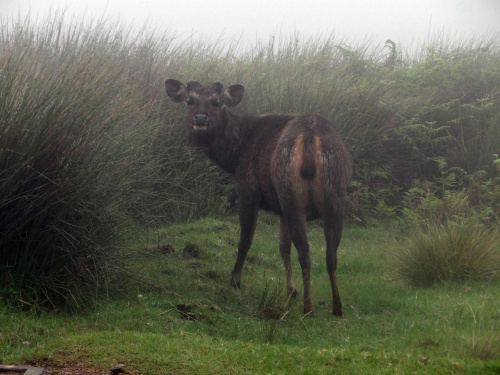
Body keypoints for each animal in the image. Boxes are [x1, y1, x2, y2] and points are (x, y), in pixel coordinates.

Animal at [164, 79, 352, 318]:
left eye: (216, 102)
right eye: (190, 100)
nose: (199, 119)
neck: (235, 156)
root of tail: (310, 140)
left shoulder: (249, 189)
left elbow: (245, 240)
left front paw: (235, 280)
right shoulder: (280, 209)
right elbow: (283, 248)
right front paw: (291, 289)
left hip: (292, 194)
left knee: (305, 250)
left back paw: (308, 307)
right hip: (334, 194)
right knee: (331, 253)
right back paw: (337, 307)